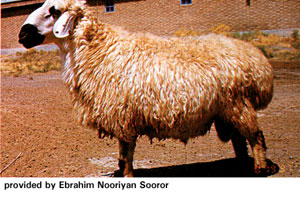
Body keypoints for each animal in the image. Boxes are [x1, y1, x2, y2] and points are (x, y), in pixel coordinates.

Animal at [18, 0, 276, 177]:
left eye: (54, 10)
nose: (22, 34)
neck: (98, 50)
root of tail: (258, 61)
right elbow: (122, 156)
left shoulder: (122, 117)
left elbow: (126, 155)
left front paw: (127, 176)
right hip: (228, 110)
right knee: (239, 140)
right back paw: (241, 165)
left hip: (238, 103)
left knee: (256, 136)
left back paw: (260, 167)